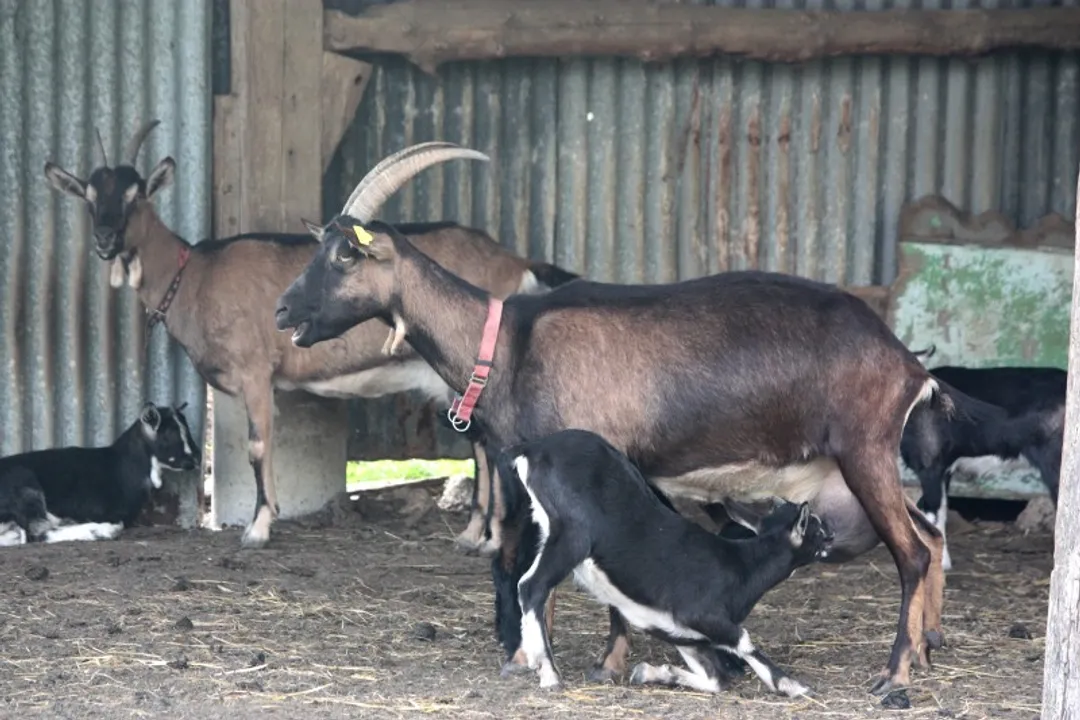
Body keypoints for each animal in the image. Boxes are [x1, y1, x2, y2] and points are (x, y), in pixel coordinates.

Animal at [0, 402, 199, 546]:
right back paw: (102, 531)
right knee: (37, 532)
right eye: (169, 435)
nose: (197, 457)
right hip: (24, 484)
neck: (123, 464)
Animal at [44, 122, 577, 552]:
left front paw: (258, 529)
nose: (105, 240)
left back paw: (484, 538)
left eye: (136, 196)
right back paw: (473, 535)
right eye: (89, 198)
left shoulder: (255, 372)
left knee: (486, 449)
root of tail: (515, 262)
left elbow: (259, 447)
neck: (194, 274)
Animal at [495, 428, 832, 695]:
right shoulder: (702, 613)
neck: (743, 566)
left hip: (548, 530)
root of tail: (534, 448)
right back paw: (549, 672)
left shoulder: (681, 634)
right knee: (531, 585)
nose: (832, 535)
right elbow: (744, 640)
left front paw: (651, 673)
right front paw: (792, 685)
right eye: (815, 527)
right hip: (573, 534)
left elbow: (716, 680)